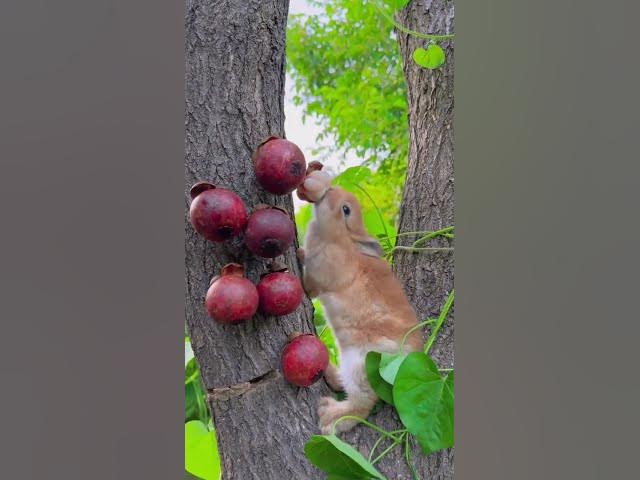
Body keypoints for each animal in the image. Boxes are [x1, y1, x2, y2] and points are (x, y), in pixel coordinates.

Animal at [296, 168, 422, 435]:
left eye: (346, 210)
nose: (328, 191)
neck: (345, 240)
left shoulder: (320, 276)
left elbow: (309, 286)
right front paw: (300, 252)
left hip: (360, 365)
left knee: (361, 405)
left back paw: (329, 416)